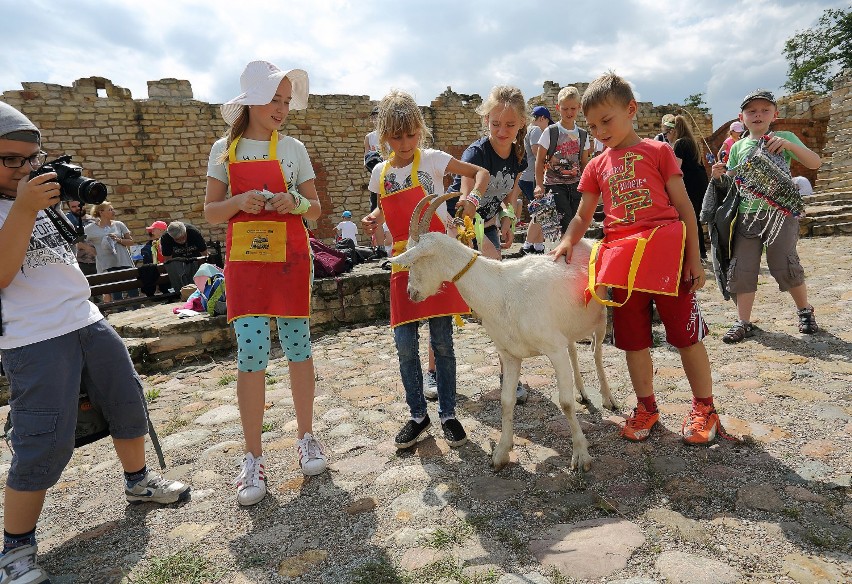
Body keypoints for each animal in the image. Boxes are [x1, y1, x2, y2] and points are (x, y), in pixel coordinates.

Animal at [390, 194, 616, 472]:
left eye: (414, 260)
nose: (411, 293)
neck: (501, 290)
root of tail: (588, 242)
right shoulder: (510, 354)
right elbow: (506, 401)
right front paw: (501, 453)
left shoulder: (553, 348)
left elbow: (564, 402)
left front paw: (581, 456)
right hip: (568, 327)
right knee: (575, 350)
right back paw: (583, 393)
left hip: (601, 317)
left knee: (596, 353)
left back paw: (607, 398)